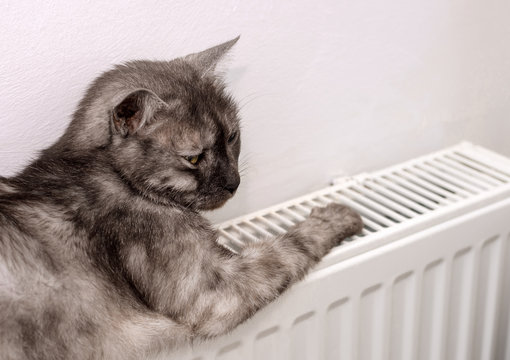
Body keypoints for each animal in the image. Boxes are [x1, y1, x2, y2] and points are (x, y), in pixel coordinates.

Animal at [0, 37, 362, 360]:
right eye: (193, 158)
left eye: (232, 136)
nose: (233, 183)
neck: (107, 170)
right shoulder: (217, 292)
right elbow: (286, 247)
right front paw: (337, 214)